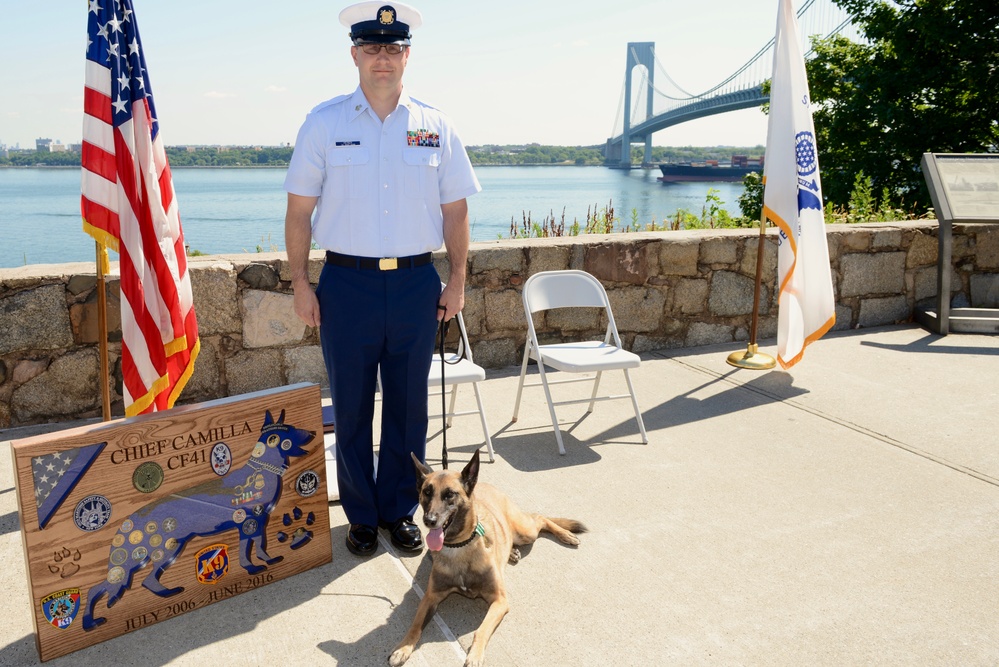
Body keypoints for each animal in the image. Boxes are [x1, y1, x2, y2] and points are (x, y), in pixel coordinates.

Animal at [82, 408, 312, 632]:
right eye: (292, 430)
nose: (312, 433)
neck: (260, 472)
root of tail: (131, 518)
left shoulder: (256, 523)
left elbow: (259, 546)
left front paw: (264, 562)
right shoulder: (248, 524)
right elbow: (248, 550)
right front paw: (252, 567)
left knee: (135, 583)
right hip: (164, 551)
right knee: (112, 586)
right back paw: (92, 622)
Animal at [388, 452, 584, 667]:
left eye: (450, 494)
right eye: (427, 492)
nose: (429, 520)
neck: (459, 547)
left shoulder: (499, 601)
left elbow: (480, 631)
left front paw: (475, 655)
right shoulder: (430, 597)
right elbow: (415, 625)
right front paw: (403, 647)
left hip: (526, 531)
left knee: (540, 518)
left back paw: (566, 535)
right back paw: (512, 552)